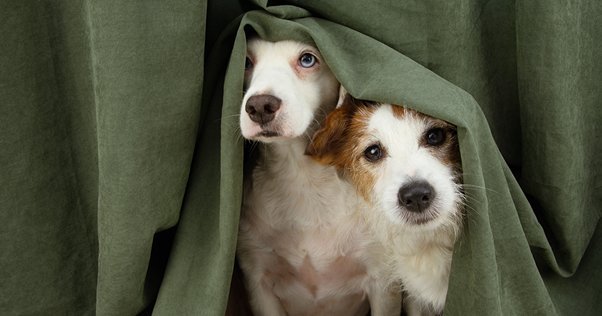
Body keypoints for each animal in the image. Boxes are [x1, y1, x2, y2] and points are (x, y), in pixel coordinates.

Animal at [234, 37, 398, 316]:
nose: (260, 106)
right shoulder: (258, 280)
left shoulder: (383, 281)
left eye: (307, 59)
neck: (303, 178)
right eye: (245, 61)